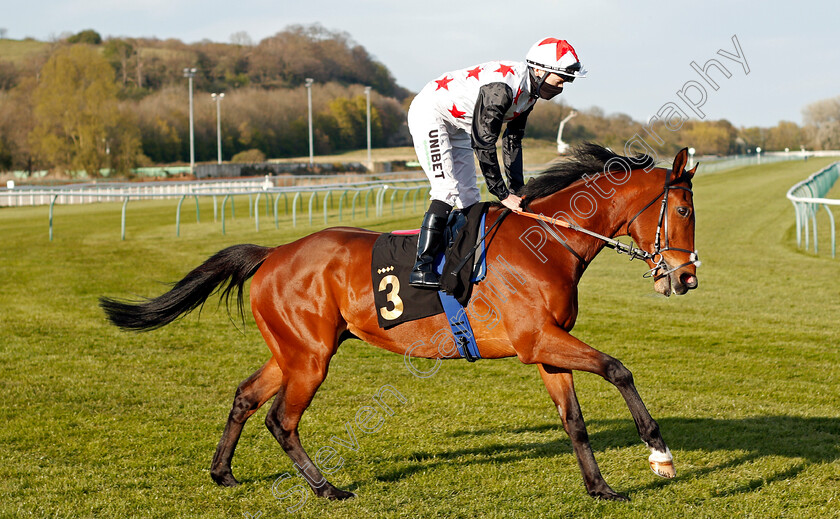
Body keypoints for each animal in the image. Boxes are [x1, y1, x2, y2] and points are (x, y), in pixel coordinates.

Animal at [101, 144, 700, 502]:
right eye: (685, 210)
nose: (687, 277)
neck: (548, 242)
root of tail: (273, 253)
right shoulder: (541, 339)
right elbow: (618, 369)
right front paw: (659, 453)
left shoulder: (545, 347)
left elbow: (573, 420)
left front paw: (601, 488)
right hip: (310, 358)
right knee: (281, 419)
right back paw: (327, 488)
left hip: (293, 351)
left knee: (246, 397)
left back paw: (223, 472)